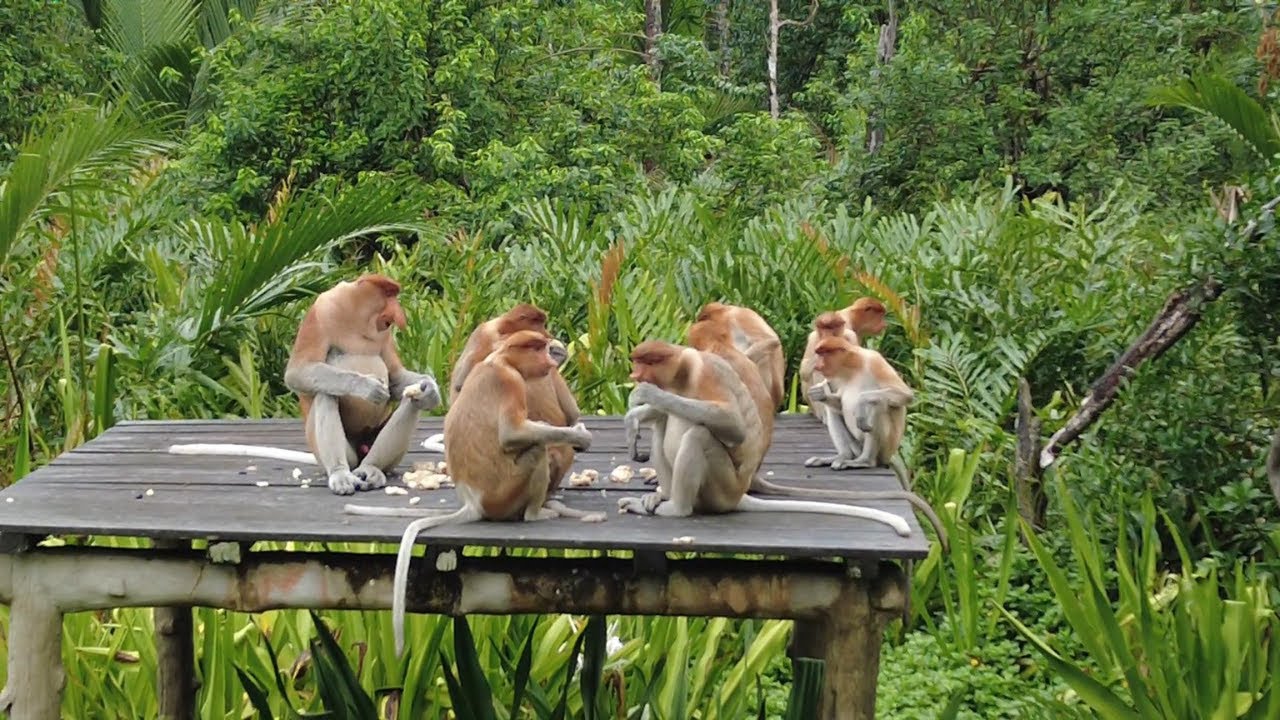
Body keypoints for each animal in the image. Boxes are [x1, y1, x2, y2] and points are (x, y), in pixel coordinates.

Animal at [167, 274, 441, 495]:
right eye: (389, 294)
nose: (399, 314)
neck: (355, 318)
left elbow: (394, 377)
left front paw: (429, 389)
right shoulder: (320, 313)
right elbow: (297, 373)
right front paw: (365, 386)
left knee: (410, 403)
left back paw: (371, 468)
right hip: (323, 448)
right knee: (327, 394)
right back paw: (341, 474)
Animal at [341, 330, 604, 657]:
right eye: (539, 347)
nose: (552, 356)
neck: (500, 360)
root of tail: (473, 503)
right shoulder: (511, 382)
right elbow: (513, 434)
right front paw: (579, 435)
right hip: (507, 493)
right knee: (535, 450)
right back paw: (538, 513)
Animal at [616, 339, 912, 536]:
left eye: (646, 363)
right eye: (637, 362)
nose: (634, 375)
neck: (681, 373)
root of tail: (739, 495)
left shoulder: (706, 373)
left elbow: (733, 424)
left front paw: (645, 394)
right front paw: (634, 419)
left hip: (722, 488)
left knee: (699, 434)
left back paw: (675, 507)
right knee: (663, 423)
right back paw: (659, 497)